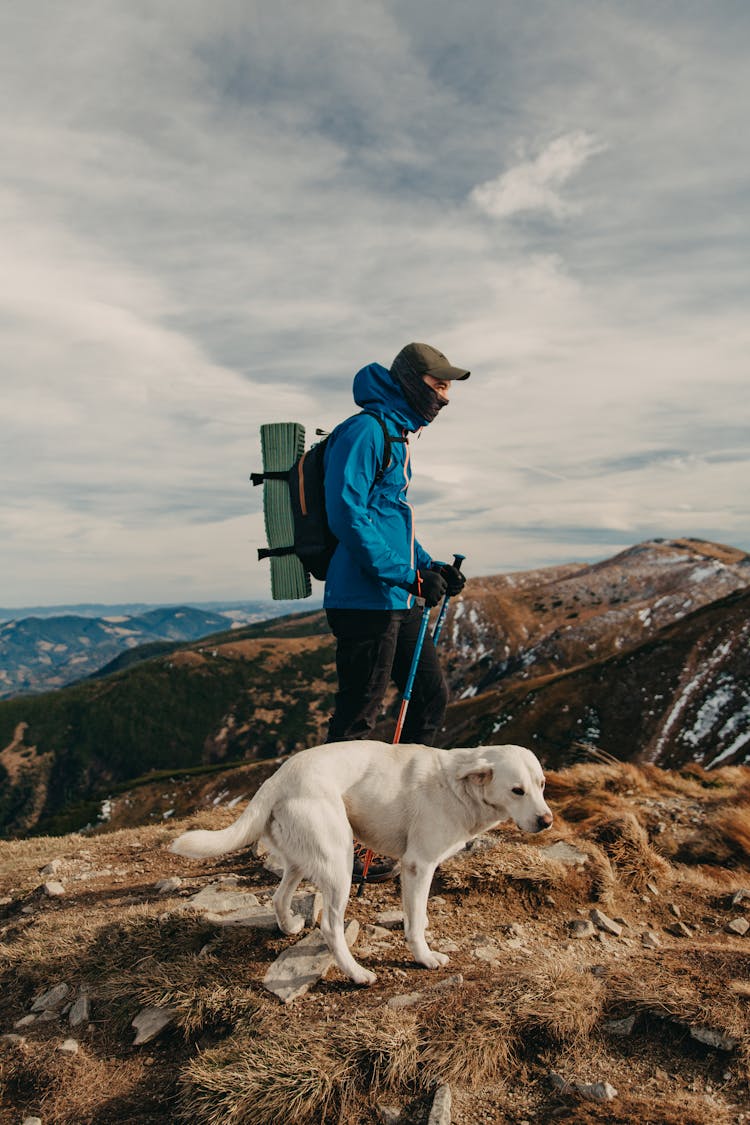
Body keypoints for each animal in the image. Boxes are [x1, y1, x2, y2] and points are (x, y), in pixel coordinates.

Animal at [173, 738, 555, 985]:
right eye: (517, 790)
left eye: (541, 784)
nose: (546, 821)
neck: (458, 787)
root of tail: (275, 779)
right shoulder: (418, 865)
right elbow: (414, 925)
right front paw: (425, 956)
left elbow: (418, 913)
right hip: (338, 864)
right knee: (330, 926)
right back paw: (356, 974)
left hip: (304, 858)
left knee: (279, 896)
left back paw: (289, 926)